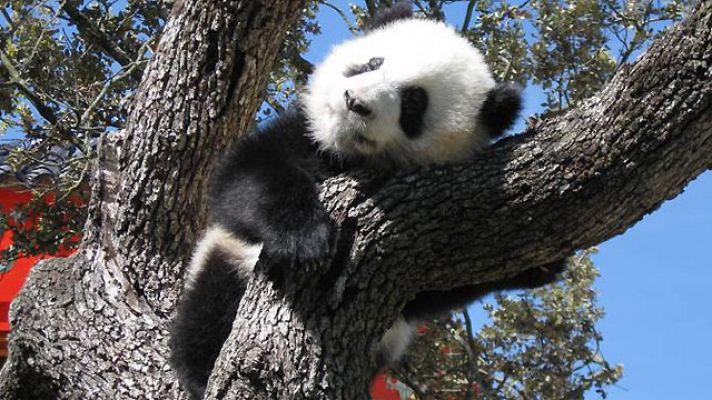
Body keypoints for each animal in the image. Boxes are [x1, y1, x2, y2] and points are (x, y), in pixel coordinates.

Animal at [169, 2, 564, 399]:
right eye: (373, 62)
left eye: (413, 103)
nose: (355, 103)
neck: (348, 157)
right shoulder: (306, 135)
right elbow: (244, 176)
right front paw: (305, 238)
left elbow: (433, 291)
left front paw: (542, 264)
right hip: (225, 258)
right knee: (209, 311)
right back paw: (201, 371)